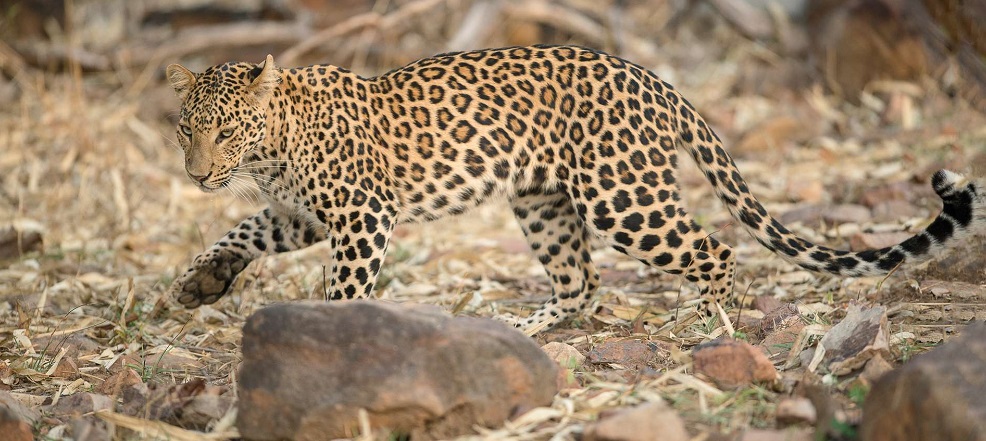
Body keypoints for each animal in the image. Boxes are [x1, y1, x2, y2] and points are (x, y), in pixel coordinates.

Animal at [167, 44, 984, 332]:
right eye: (186, 129)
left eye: (227, 129)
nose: (198, 174)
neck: (272, 150)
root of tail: (658, 82)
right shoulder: (301, 215)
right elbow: (243, 232)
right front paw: (198, 283)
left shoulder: (362, 214)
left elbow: (344, 286)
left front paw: (334, 333)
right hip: (544, 202)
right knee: (580, 283)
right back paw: (522, 328)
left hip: (623, 196)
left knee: (715, 248)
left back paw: (705, 322)